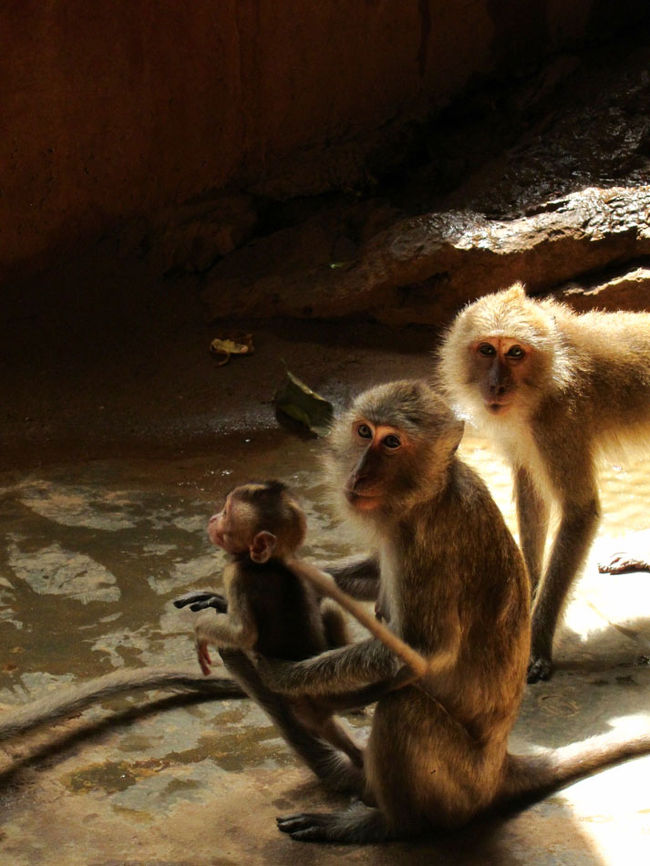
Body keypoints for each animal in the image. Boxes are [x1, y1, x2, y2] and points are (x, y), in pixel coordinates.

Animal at [244, 382, 648, 840]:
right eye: (364, 432)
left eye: (392, 442)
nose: (359, 474)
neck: (427, 493)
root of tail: (499, 766)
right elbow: (376, 579)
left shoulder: (424, 545)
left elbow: (425, 649)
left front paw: (287, 677)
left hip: (459, 786)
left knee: (403, 704)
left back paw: (384, 823)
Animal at [432, 284, 648, 680]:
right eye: (487, 350)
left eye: (515, 353)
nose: (497, 385)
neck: (545, 383)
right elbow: (531, 493)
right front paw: (527, 593)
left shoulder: (559, 422)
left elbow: (579, 512)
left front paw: (538, 642)